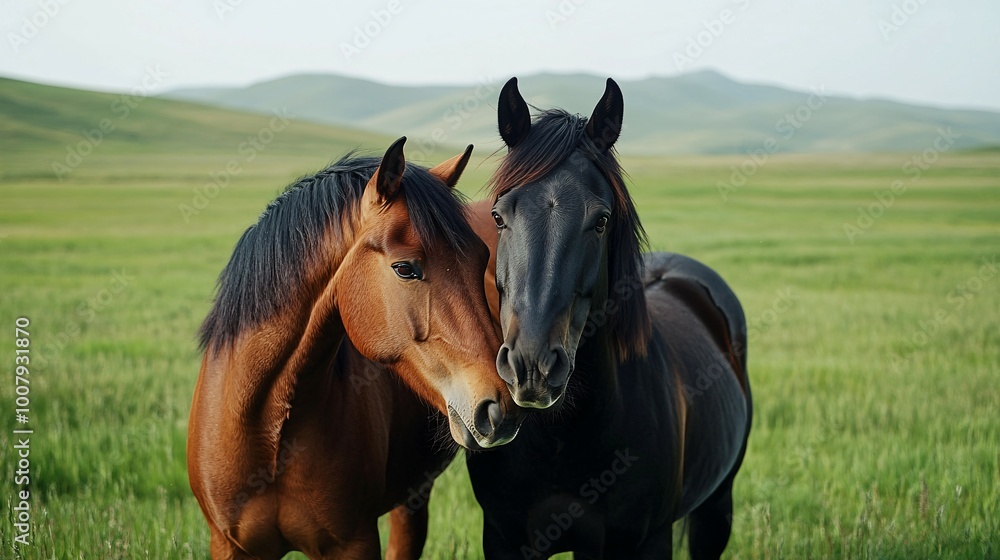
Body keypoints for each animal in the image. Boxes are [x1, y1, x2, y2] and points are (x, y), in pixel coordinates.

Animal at [187, 137, 522, 560]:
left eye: (481, 260)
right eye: (405, 268)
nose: (501, 406)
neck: (266, 430)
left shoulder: (352, 543)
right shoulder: (229, 545)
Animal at [465, 79, 753, 559]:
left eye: (600, 221)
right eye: (498, 217)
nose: (532, 367)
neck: (563, 436)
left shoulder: (642, 541)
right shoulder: (505, 540)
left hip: (717, 508)